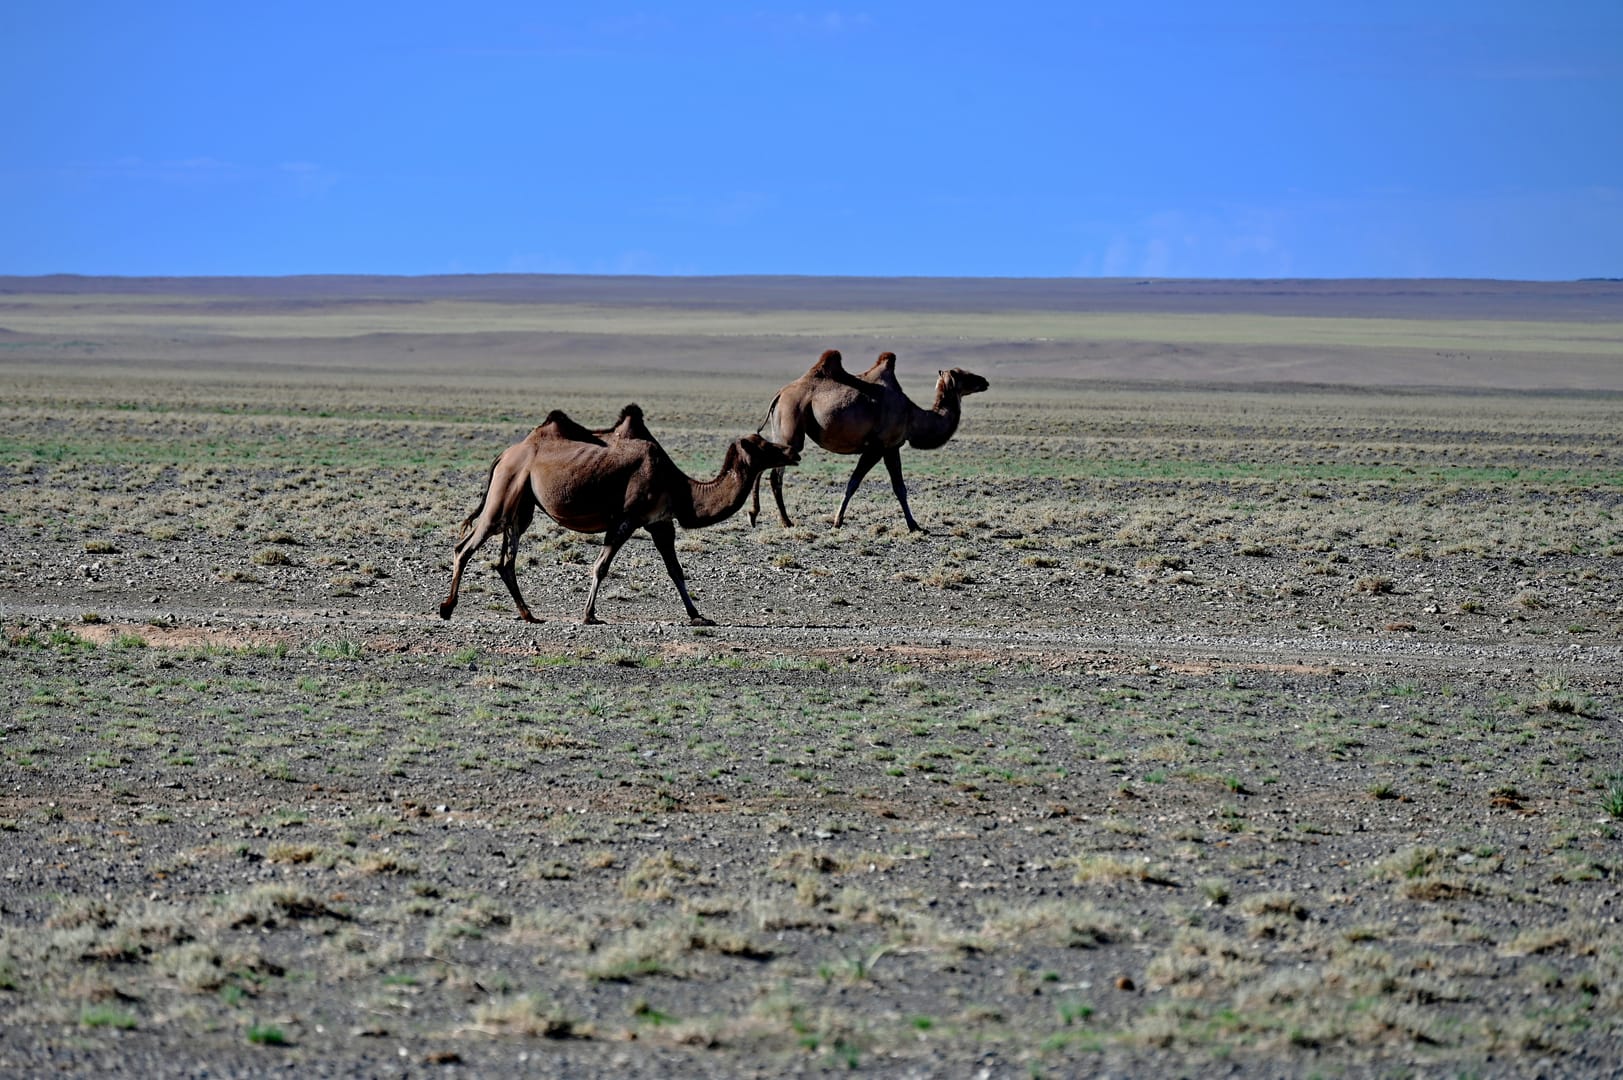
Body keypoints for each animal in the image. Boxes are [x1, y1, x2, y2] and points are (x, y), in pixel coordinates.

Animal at [438, 404, 799, 625]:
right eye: (764, 445)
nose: (792, 451)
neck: (681, 487)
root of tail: (504, 454)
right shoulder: (628, 517)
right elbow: (601, 566)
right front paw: (589, 615)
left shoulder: (660, 522)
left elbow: (676, 570)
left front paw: (698, 616)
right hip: (505, 490)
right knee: (466, 546)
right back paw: (447, 608)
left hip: (521, 504)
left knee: (505, 560)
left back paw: (528, 614)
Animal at [749, 350, 989, 532]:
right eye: (963, 374)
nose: (985, 381)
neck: (913, 416)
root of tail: (780, 394)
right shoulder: (879, 447)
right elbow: (858, 482)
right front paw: (838, 521)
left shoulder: (893, 447)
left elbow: (897, 487)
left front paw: (914, 525)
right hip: (792, 425)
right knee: (776, 475)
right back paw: (786, 521)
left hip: (782, 428)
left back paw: (755, 514)